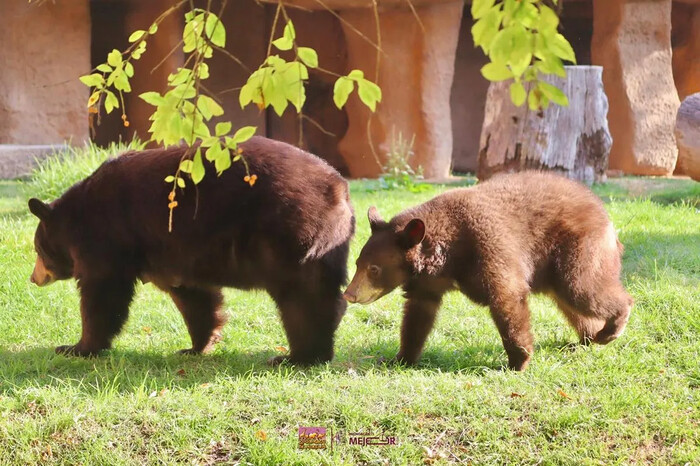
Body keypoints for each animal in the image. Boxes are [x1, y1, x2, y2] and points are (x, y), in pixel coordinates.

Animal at [29, 136, 352, 364]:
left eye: (37, 250)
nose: (33, 278)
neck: (76, 216)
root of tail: (339, 186)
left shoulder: (107, 236)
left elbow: (103, 292)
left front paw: (76, 346)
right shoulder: (178, 253)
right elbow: (196, 297)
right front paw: (196, 346)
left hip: (288, 232)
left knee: (301, 296)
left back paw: (299, 356)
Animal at [344, 171, 636, 372]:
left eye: (374, 269)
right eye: (357, 263)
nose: (349, 294)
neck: (446, 251)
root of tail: (607, 217)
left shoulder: (488, 246)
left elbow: (506, 296)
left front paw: (518, 361)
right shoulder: (427, 282)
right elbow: (418, 314)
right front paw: (400, 358)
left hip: (579, 248)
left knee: (584, 289)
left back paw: (611, 328)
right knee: (572, 303)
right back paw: (590, 337)